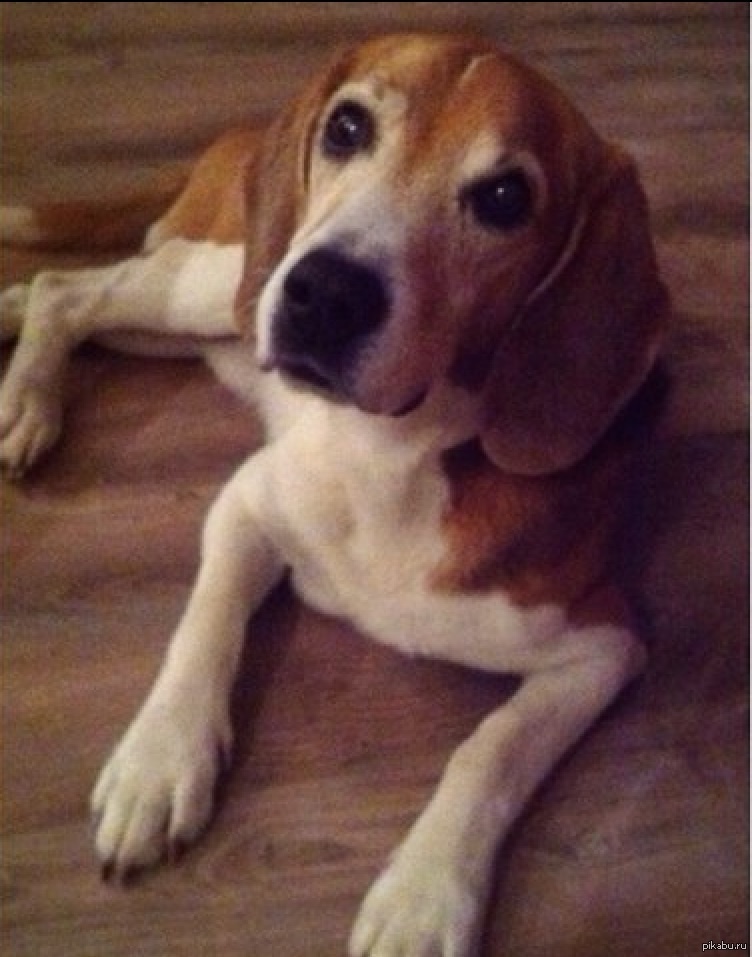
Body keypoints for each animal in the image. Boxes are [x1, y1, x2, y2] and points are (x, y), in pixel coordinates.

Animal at [0, 33, 668, 957]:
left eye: (506, 197)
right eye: (349, 127)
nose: (326, 292)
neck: (388, 455)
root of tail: (244, 130)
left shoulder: (604, 644)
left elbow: (491, 748)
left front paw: (424, 898)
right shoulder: (246, 503)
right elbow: (203, 626)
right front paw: (158, 763)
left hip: (195, 320)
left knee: (69, 294)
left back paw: (14, 333)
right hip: (218, 285)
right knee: (76, 288)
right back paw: (27, 399)